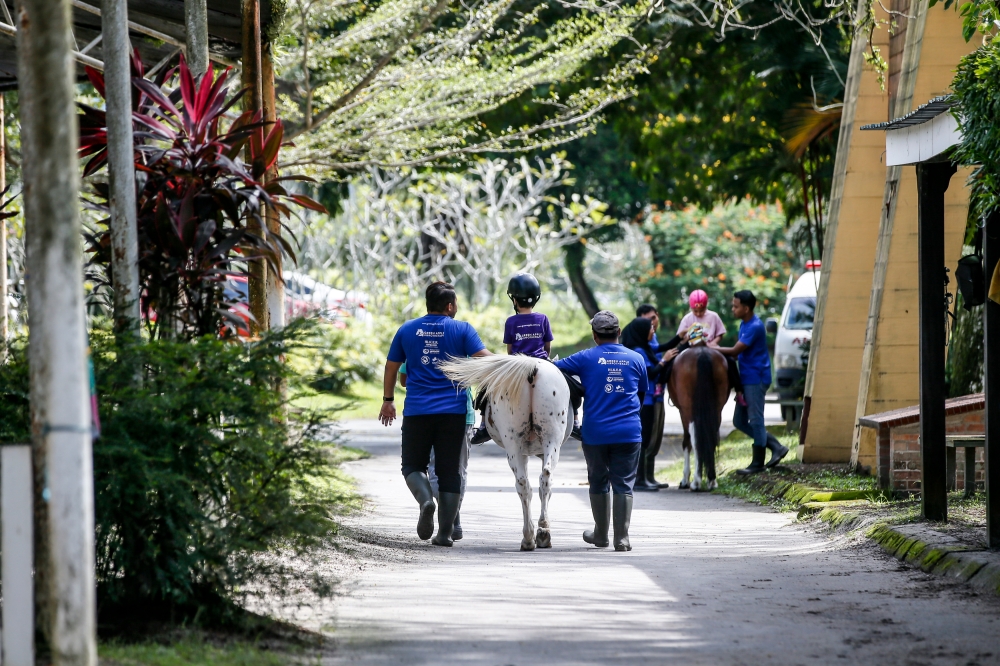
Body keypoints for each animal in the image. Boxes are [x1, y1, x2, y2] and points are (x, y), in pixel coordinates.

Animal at [438, 356, 572, 548]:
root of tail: (532, 368)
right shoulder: (527, 453)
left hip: (523, 445)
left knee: (530, 482)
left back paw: (535, 534)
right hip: (540, 442)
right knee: (537, 480)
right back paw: (536, 533)